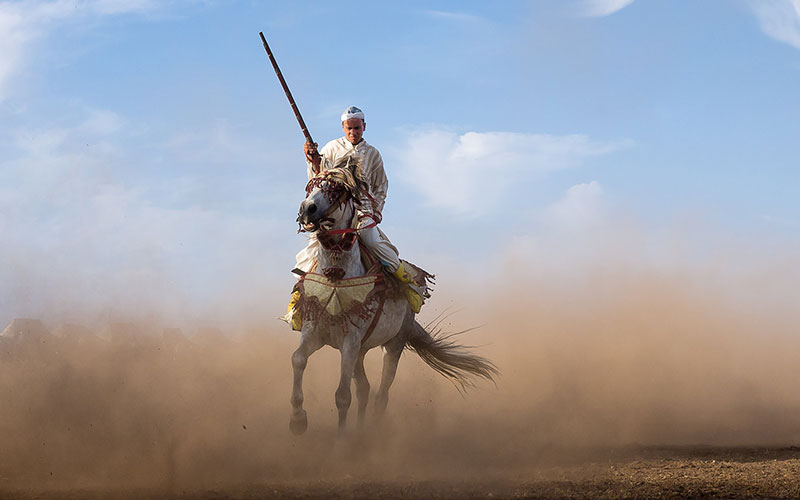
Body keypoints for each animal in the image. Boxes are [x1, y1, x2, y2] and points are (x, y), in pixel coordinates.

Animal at [290, 163, 496, 434]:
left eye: (337, 190)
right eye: (311, 186)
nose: (307, 209)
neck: (336, 276)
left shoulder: (350, 343)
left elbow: (342, 395)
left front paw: (341, 440)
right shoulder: (315, 332)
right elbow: (298, 359)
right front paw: (298, 419)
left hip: (393, 345)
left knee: (381, 394)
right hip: (362, 350)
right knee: (364, 389)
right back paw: (361, 430)